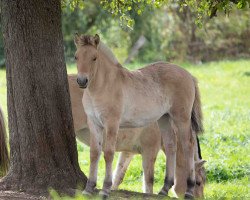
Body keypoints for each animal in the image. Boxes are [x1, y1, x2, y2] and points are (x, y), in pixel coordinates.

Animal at [73, 34, 203, 198]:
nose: (82, 81)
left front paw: (104, 190)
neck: (103, 86)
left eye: (94, 58)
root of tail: (189, 75)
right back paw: (164, 189)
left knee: (188, 146)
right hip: (164, 118)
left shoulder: (112, 123)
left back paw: (189, 191)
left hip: (181, 117)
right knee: (171, 145)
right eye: (76, 56)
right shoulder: (94, 124)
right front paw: (88, 189)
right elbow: (94, 153)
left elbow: (108, 153)